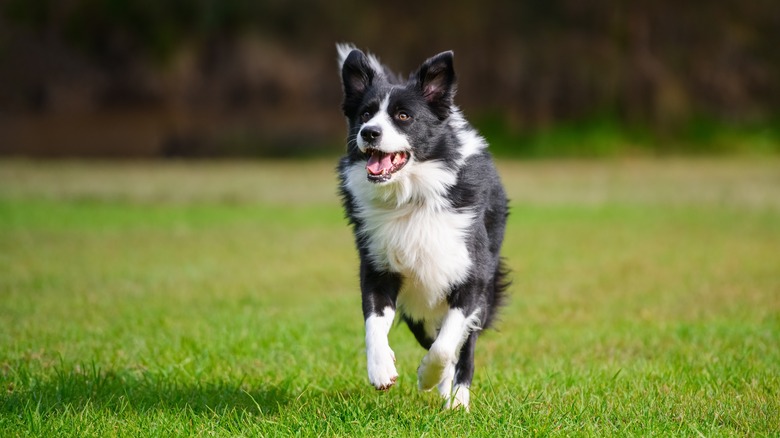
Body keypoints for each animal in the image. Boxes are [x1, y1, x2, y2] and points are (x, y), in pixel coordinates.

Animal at [336, 44, 508, 410]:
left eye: (403, 116)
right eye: (365, 114)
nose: (369, 132)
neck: (410, 197)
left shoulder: (471, 276)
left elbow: (446, 345)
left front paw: (428, 377)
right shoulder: (378, 267)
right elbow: (374, 323)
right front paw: (381, 369)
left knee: (464, 349)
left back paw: (457, 400)